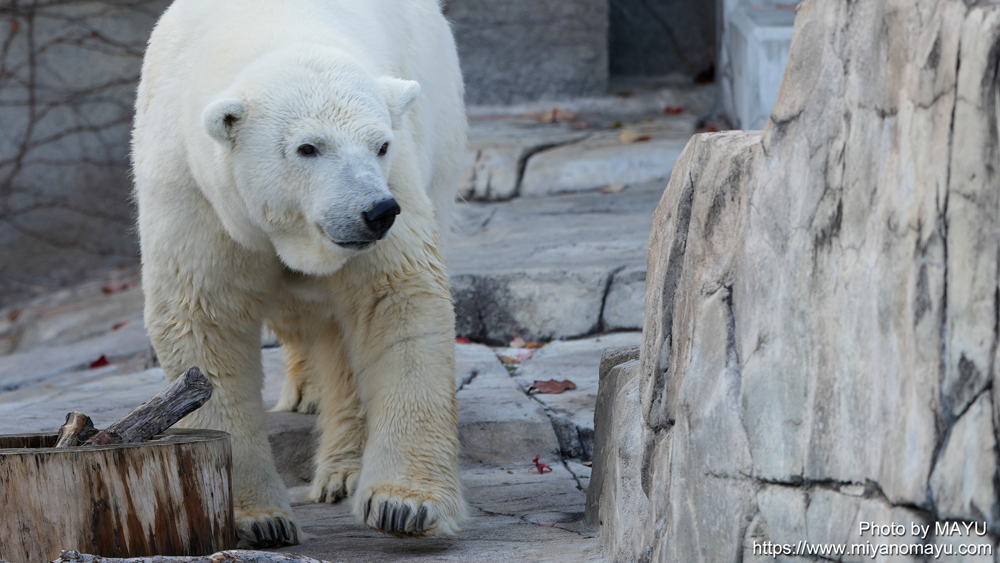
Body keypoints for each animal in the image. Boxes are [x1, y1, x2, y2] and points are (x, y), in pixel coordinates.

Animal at [132, 0, 468, 548]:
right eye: (308, 147)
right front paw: (258, 519)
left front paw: (404, 506)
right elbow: (203, 320)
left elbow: (392, 300)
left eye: (380, 144)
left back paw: (342, 469)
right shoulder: (192, 190)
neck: (274, 28)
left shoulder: (398, 177)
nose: (376, 212)